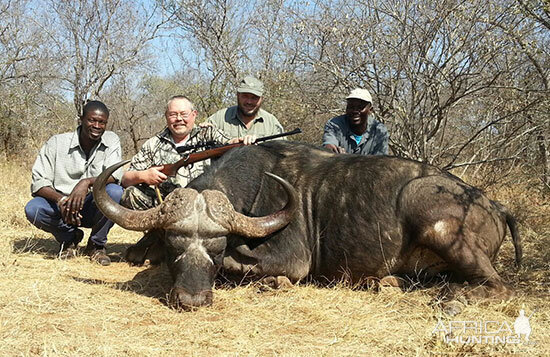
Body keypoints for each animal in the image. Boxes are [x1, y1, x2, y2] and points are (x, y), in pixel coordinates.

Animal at [94, 140, 520, 308]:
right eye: (174, 248)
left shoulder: (293, 260)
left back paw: (452, 297)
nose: (192, 299)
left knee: (497, 286)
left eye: (215, 250)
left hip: (436, 221)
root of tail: (493, 204)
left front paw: (272, 283)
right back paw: (386, 283)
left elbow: (247, 268)